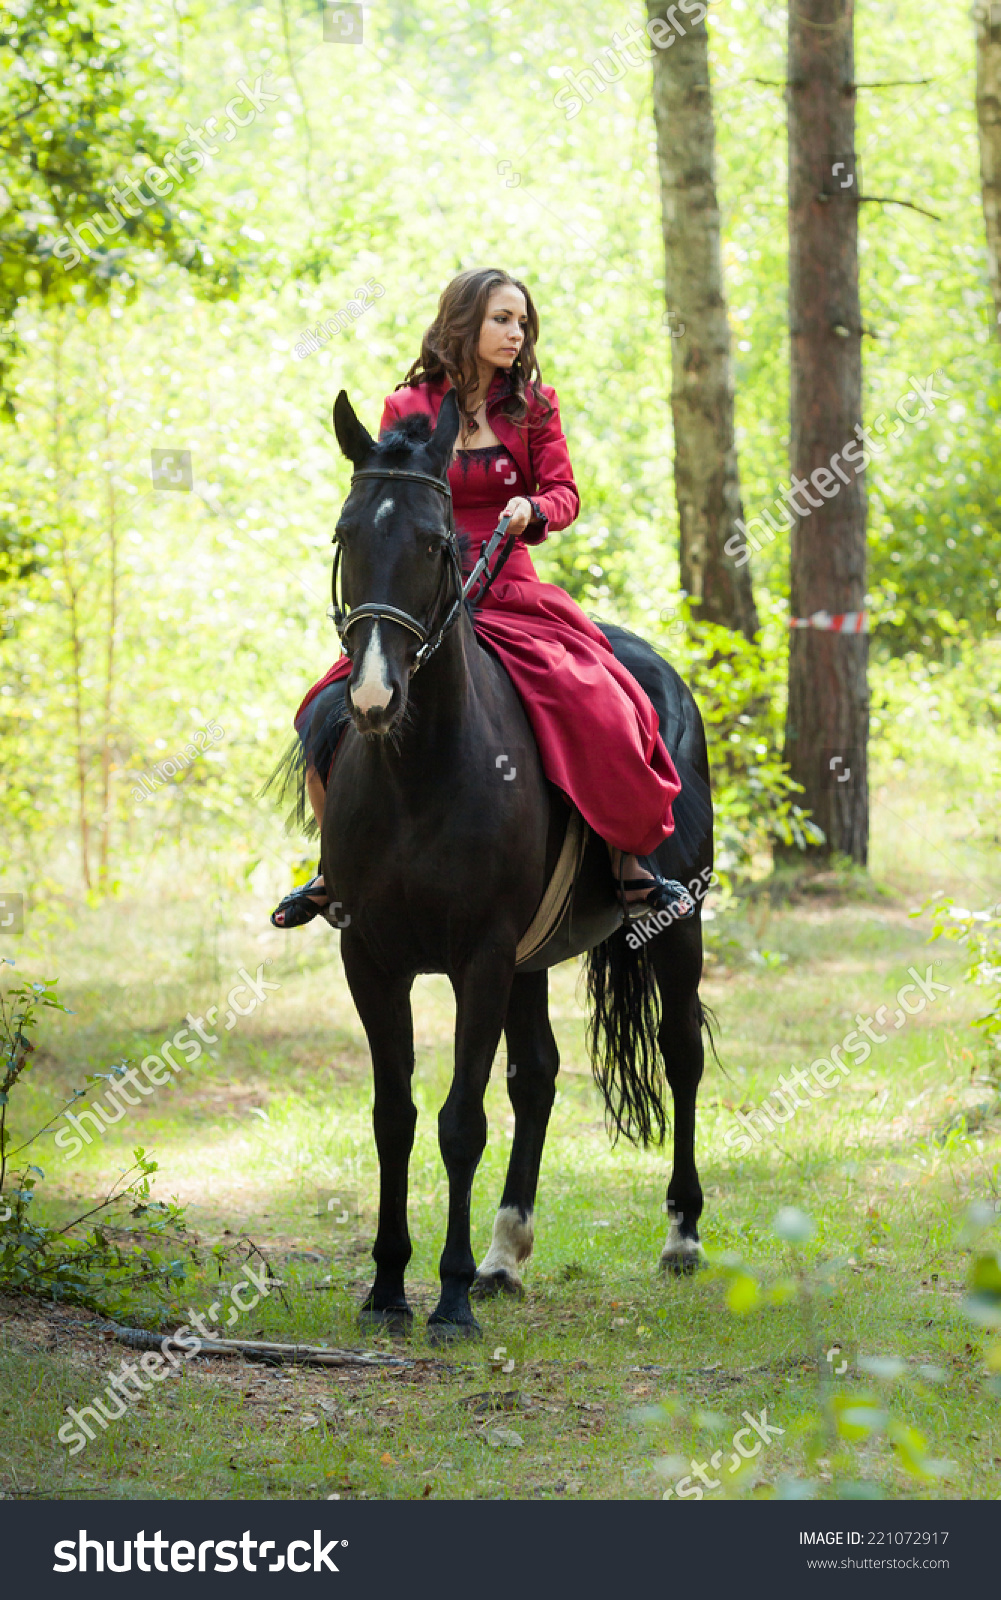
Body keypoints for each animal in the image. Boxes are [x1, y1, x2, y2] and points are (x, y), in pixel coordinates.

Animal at [300, 387, 713, 1337]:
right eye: (345, 534)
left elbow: (459, 1122)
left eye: (435, 544)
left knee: (679, 1052)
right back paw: (504, 1253)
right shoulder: (370, 957)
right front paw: (388, 1285)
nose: (373, 697)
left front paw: (447, 1296)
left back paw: (680, 1236)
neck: (419, 773)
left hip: (675, 925)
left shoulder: (479, 957)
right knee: (539, 1079)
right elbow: (394, 1115)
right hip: (531, 958)